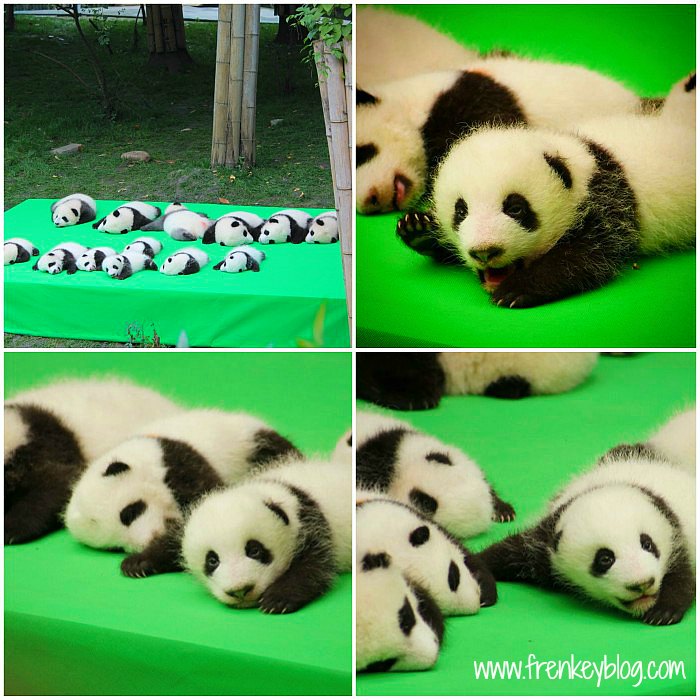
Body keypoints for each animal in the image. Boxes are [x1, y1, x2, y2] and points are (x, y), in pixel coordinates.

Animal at [65, 409, 302, 578]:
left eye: (129, 513)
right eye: (115, 547)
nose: (150, 538)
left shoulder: (181, 466)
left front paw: (139, 562)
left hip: (251, 445)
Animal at [181, 458, 350, 613]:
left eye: (255, 550)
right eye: (212, 560)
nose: (240, 590)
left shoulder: (311, 523)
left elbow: (314, 566)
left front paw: (277, 599)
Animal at [398, 109, 696, 308]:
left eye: (515, 209)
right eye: (461, 211)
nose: (485, 251)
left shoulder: (608, 200)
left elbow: (587, 256)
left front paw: (516, 290)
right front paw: (418, 228)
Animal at [479, 408, 695, 625]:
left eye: (648, 544)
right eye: (605, 559)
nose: (643, 583)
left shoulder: (676, 533)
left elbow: (683, 577)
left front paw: (663, 611)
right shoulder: (546, 540)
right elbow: (507, 552)